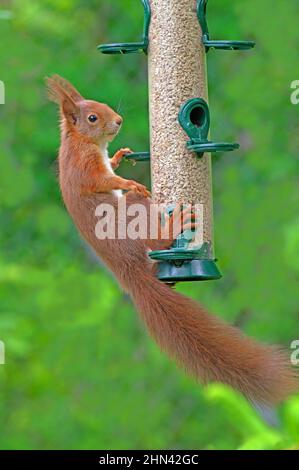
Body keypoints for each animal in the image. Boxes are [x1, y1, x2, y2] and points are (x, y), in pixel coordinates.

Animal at [47, 75, 298, 406]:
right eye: (92, 118)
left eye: (102, 106)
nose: (119, 120)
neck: (81, 141)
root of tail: (130, 272)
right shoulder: (84, 166)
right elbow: (103, 180)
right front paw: (128, 181)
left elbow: (110, 166)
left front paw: (119, 156)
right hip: (133, 215)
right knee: (154, 239)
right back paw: (171, 226)